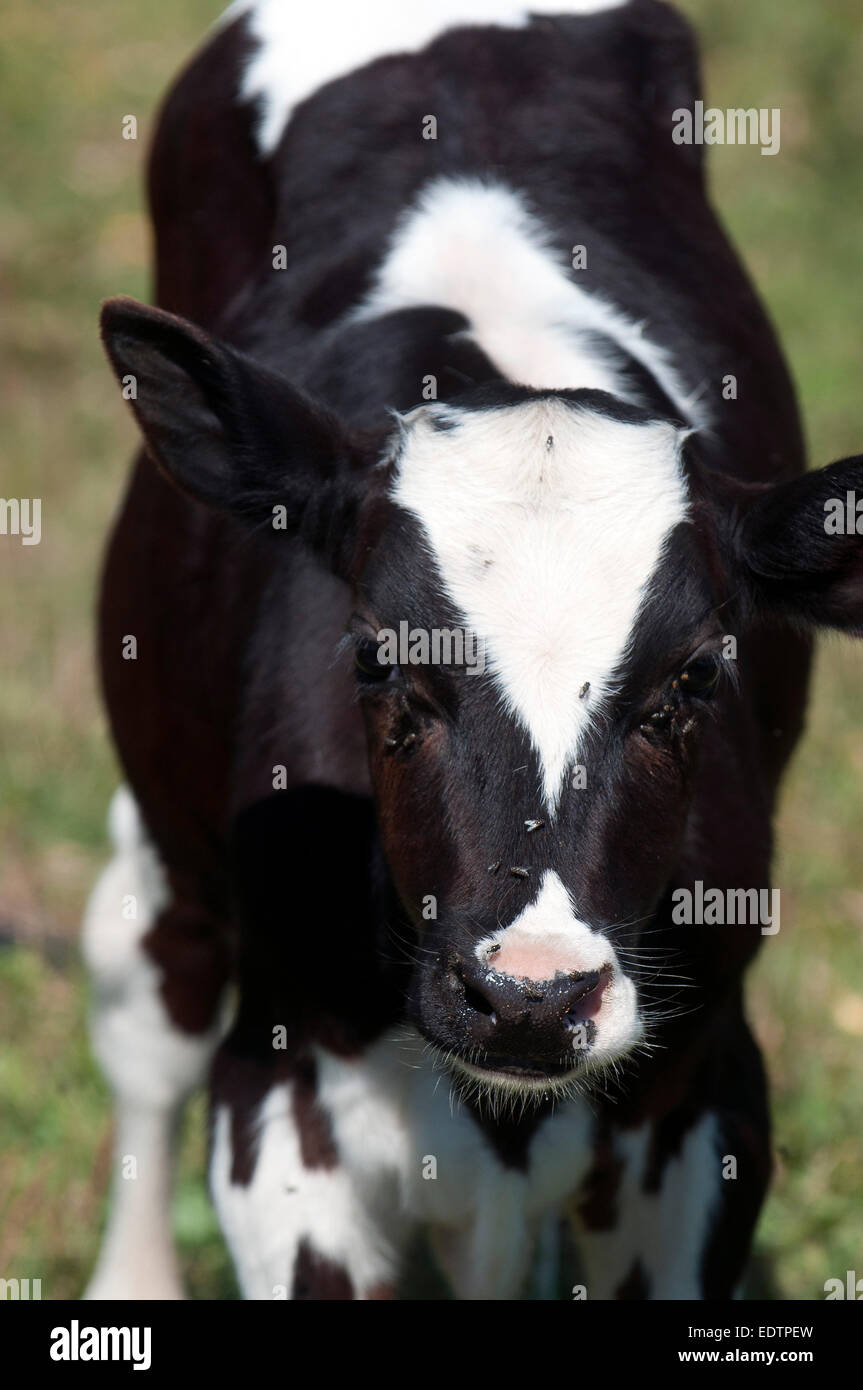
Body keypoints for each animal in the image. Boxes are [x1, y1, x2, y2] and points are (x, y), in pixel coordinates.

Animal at [81, 0, 863, 1300]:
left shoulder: (703, 1087)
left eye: (695, 677)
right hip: (169, 837)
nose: (526, 996)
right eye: (375, 660)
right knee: (149, 986)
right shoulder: (284, 1089)